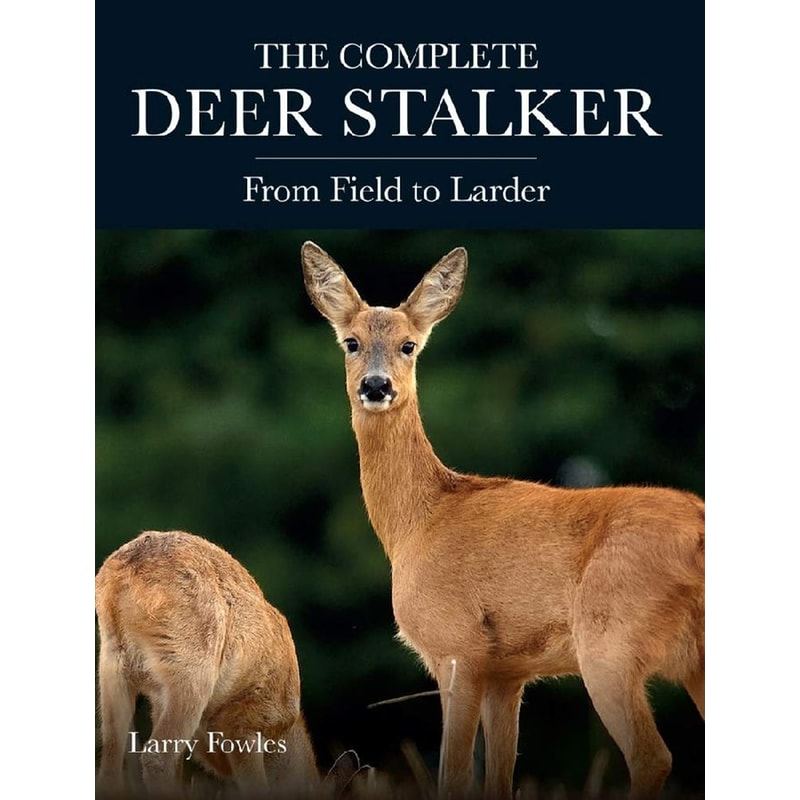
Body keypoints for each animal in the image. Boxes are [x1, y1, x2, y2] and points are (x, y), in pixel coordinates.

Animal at [95, 529, 360, 798]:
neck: (283, 727)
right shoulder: (246, 722)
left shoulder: (158, 703)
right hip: (190, 669)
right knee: (155, 757)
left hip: (113, 662)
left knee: (110, 760)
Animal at [301, 241, 705, 800]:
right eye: (351, 342)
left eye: (409, 345)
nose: (376, 386)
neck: (417, 524)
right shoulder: (507, 673)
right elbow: (498, 778)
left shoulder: (456, 647)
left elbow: (453, 776)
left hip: (610, 639)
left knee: (652, 756)